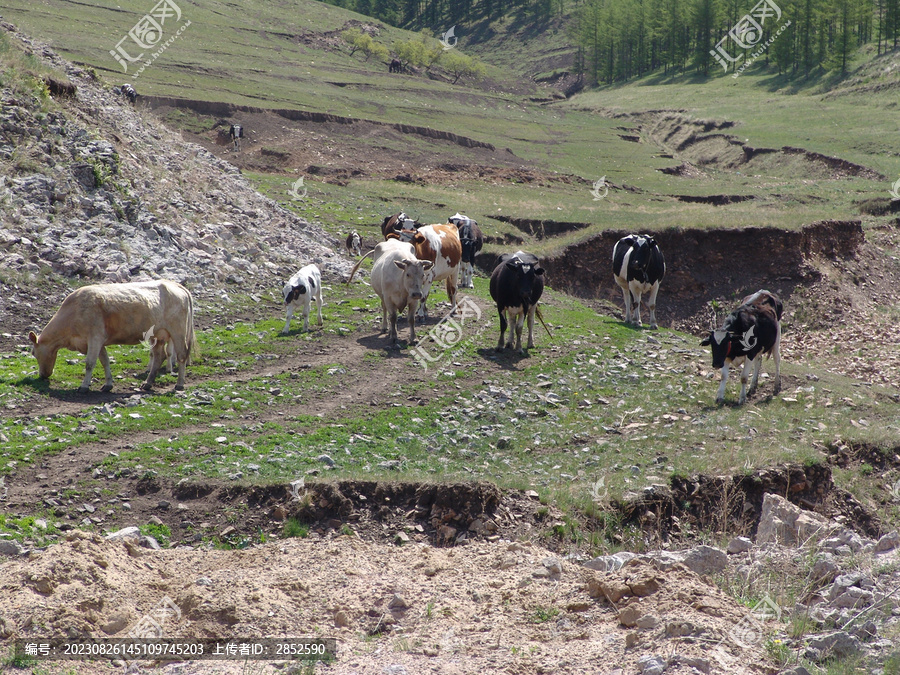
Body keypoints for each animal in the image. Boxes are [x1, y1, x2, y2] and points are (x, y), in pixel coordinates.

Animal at [28, 280, 195, 394]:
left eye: (33, 353)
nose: (42, 375)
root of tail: (175, 285)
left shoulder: (94, 338)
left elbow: (90, 363)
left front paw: (84, 386)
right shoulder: (99, 341)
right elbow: (105, 361)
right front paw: (108, 384)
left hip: (178, 331)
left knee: (181, 356)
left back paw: (179, 384)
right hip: (157, 335)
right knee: (158, 356)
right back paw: (147, 383)